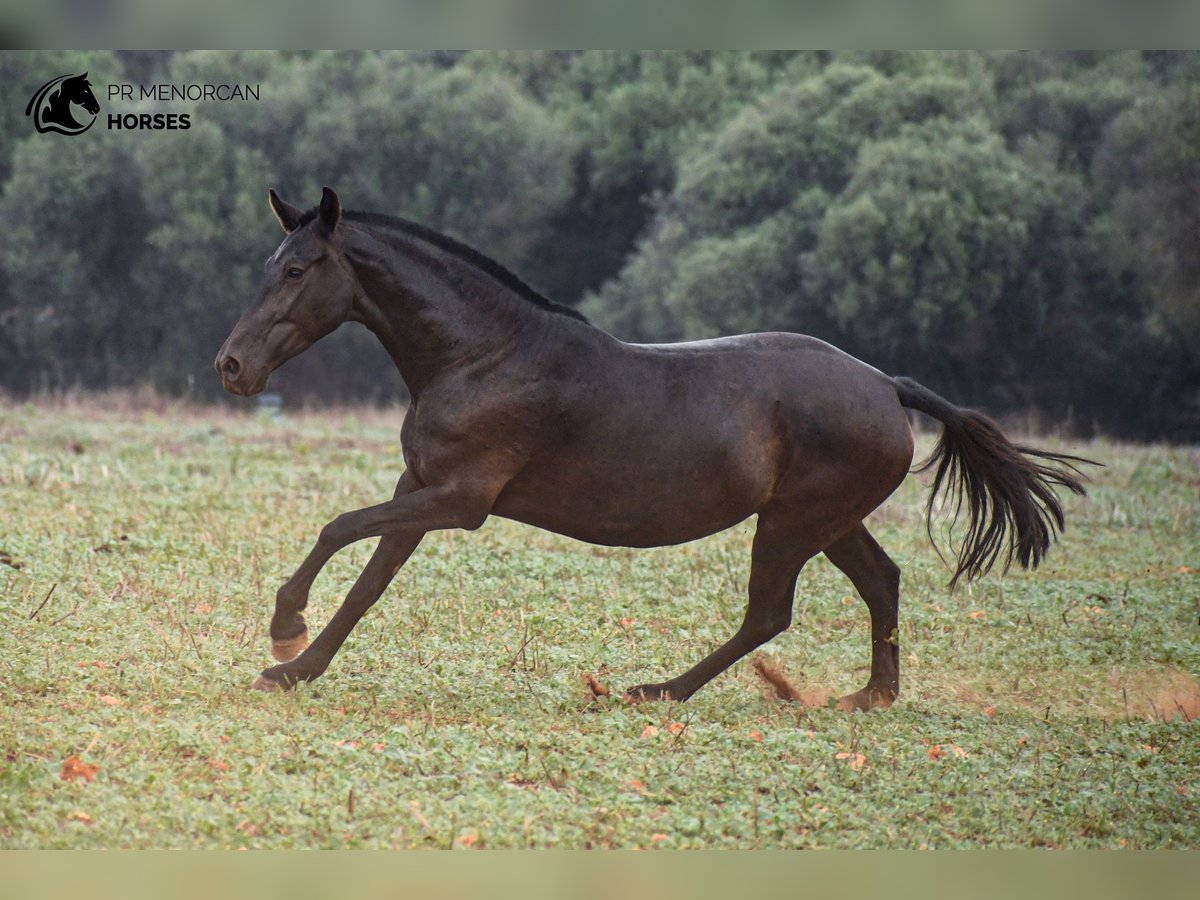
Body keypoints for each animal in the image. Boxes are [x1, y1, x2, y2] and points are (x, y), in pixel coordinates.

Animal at [211, 188, 1094, 710]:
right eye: (267, 265)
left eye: (297, 270)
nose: (231, 366)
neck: (484, 354)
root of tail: (888, 386)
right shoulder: (420, 488)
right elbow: (370, 580)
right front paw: (293, 668)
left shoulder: (461, 501)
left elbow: (337, 529)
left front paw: (284, 630)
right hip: (829, 520)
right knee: (881, 581)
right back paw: (867, 698)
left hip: (795, 523)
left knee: (770, 612)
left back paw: (654, 690)